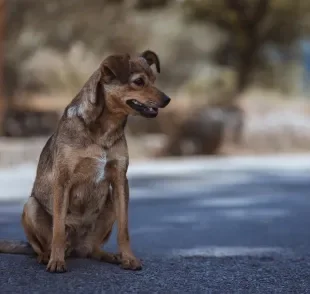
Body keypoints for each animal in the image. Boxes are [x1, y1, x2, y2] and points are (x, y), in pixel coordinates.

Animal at [0, 50, 171, 274]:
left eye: (154, 80)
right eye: (139, 82)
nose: (167, 100)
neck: (103, 130)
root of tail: (76, 247)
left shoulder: (120, 181)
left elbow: (124, 230)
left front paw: (129, 258)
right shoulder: (63, 180)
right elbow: (58, 230)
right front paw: (56, 261)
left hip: (110, 204)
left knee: (92, 250)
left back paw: (110, 256)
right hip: (31, 207)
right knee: (41, 245)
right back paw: (47, 256)